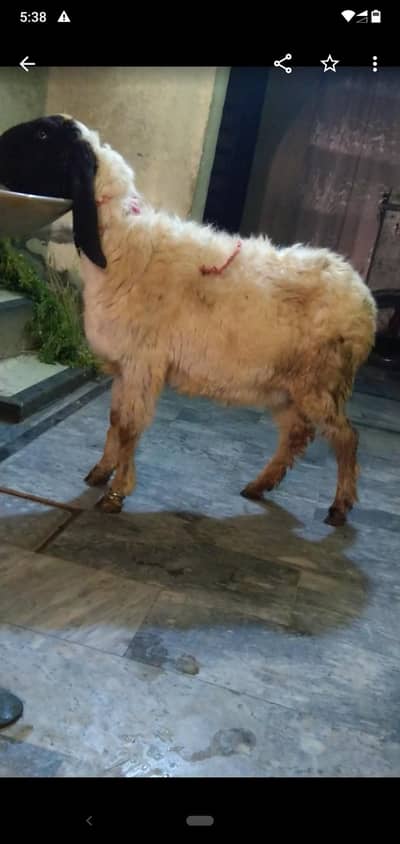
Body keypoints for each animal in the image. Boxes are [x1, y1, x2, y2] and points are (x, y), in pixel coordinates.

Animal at [0, 115, 377, 525]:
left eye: (42, 134)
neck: (120, 245)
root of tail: (364, 300)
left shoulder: (143, 363)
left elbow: (130, 427)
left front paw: (116, 494)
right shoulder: (125, 367)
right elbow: (115, 420)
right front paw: (100, 472)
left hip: (322, 381)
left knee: (347, 437)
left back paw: (340, 506)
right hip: (289, 387)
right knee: (297, 436)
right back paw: (258, 486)